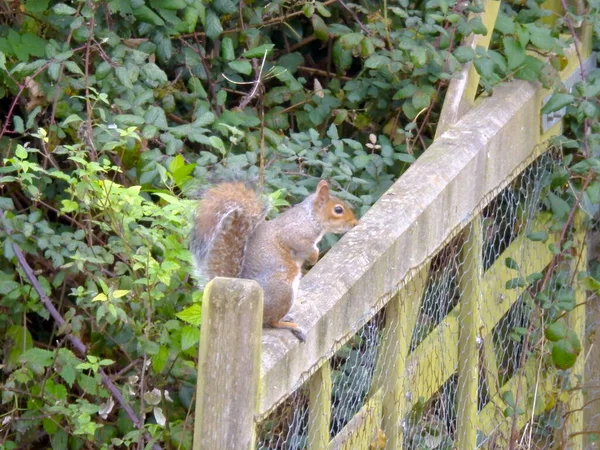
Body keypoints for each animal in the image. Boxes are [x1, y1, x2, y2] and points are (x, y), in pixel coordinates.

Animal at [192, 179, 358, 342]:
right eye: (338, 210)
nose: (355, 223)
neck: (310, 216)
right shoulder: (295, 233)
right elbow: (305, 246)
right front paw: (314, 257)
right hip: (283, 291)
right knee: (272, 322)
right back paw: (288, 325)